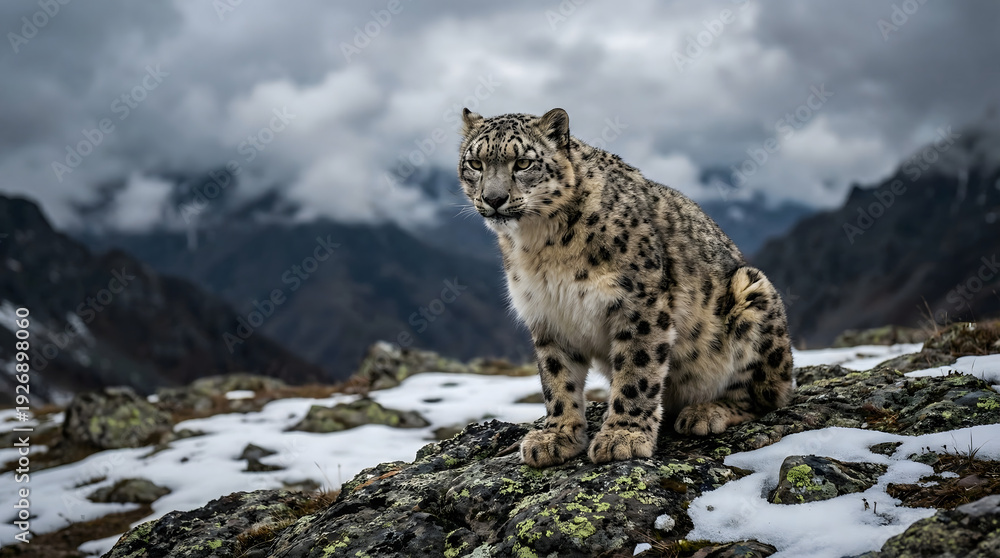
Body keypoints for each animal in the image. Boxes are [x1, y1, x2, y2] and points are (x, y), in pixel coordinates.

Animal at [457, 108, 793, 467]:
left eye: (522, 163)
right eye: (475, 163)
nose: (493, 199)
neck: (539, 245)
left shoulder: (638, 304)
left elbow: (637, 371)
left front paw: (623, 437)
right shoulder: (548, 314)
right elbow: (556, 378)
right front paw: (556, 437)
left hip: (752, 295)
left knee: (761, 397)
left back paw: (704, 413)